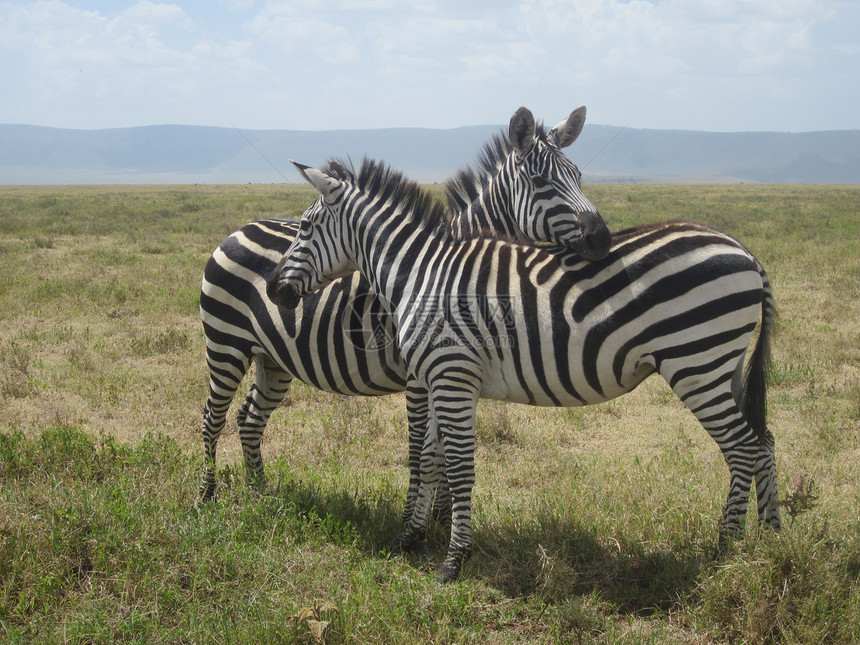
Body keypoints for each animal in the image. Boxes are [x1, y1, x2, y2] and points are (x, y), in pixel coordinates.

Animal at [198, 104, 608, 504]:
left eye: (579, 176)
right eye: (541, 182)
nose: (601, 238)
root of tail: (240, 229)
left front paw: (440, 515)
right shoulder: (420, 376)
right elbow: (420, 450)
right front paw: (428, 516)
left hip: (272, 357)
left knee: (250, 419)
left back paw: (259, 493)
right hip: (225, 344)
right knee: (212, 416)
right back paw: (207, 496)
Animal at [270, 157, 788, 584]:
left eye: (306, 226)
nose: (275, 290)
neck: (423, 272)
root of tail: (746, 253)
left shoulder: (452, 376)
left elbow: (459, 466)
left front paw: (454, 560)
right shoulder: (440, 380)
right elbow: (433, 460)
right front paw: (410, 539)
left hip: (696, 363)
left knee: (742, 448)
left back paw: (724, 549)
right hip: (723, 366)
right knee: (763, 442)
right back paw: (768, 539)